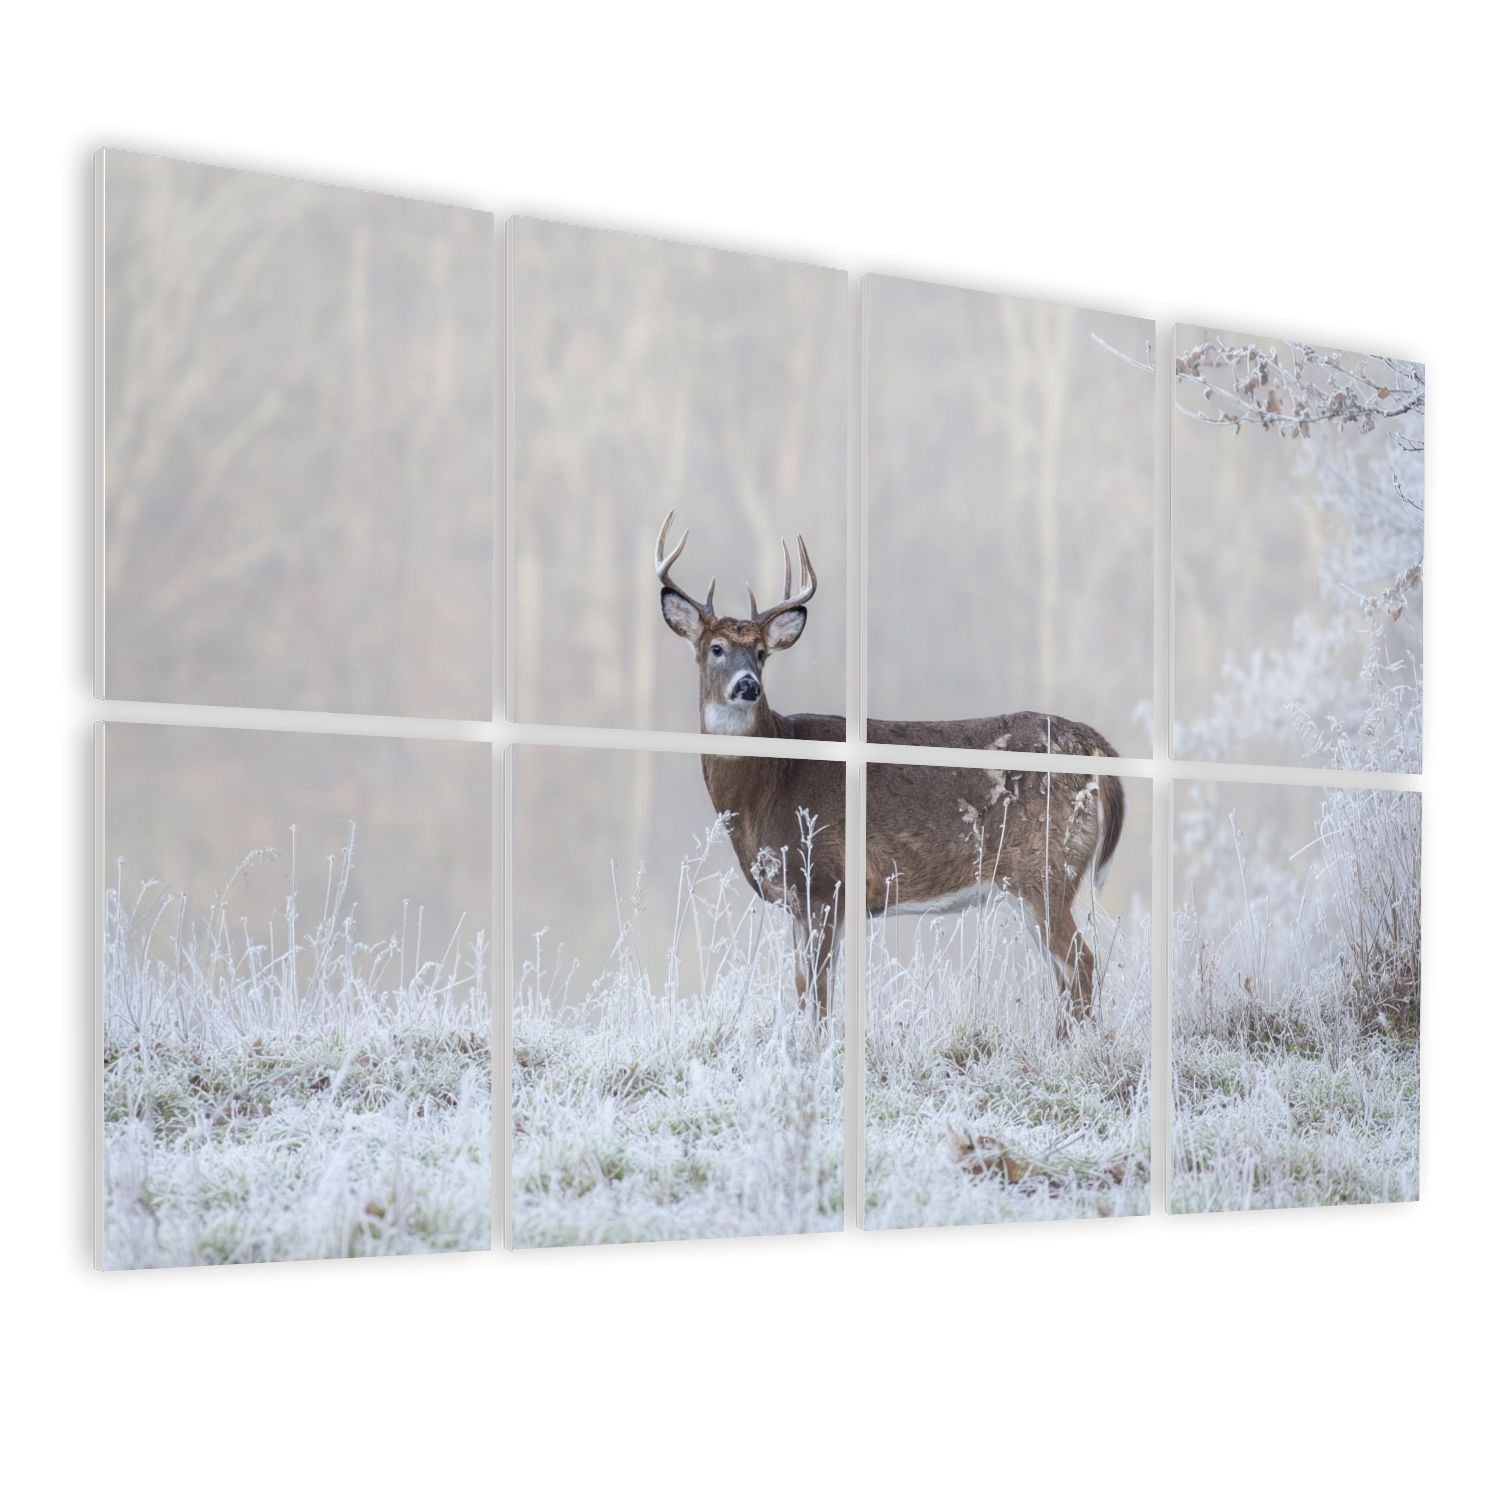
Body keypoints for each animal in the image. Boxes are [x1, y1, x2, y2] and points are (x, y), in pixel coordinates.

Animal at [655, 511, 1124, 1026]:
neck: (766, 787)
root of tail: (1096, 747)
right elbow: (803, 990)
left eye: (761, 653)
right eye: (716, 647)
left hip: (1046, 868)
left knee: (1080, 962)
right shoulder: (802, 901)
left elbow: (818, 996)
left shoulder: (825, 881)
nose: (747, 686)